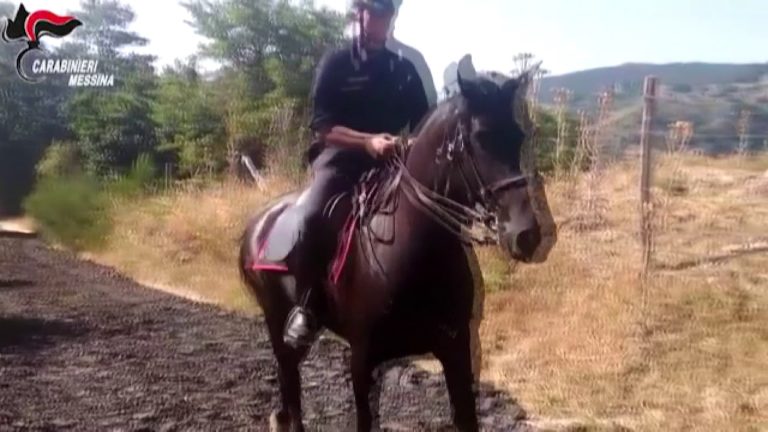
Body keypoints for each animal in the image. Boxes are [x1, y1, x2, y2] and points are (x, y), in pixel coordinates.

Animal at [237, 58, 556, 432]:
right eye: (480, 138)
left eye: (519, 136)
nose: (526, 234)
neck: (416, 255)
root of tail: (257, 223)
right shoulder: (362, 360)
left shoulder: (457, 352)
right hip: (276, 320)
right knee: (290, 383)